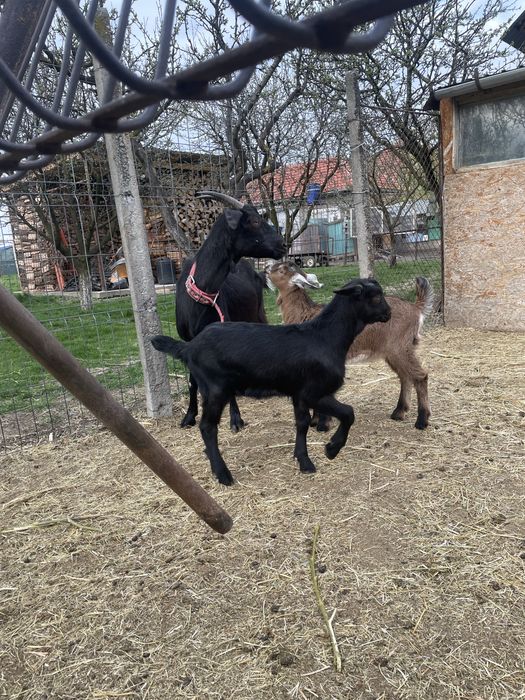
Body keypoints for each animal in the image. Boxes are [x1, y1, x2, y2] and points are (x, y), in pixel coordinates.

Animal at [152, 278, 391, 486]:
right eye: (377, 297)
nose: (388, 313)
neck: (326, 337)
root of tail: (189, 347)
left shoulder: (298, 394)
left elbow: (302, 424)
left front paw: (303, 460)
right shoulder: (313, 392)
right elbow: (348, 413)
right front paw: (331, 449)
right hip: (215, 389)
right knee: (208, 428)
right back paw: (222, 473)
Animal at [175, 191, 285, 432]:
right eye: (254, 221)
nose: (283, 245)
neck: (201, 296)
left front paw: (235, 419)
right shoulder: (190, 341)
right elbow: (192, 381)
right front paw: (189, 416)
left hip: (257, 312)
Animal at [266, 260, 432, 430]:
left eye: (281, 269)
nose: (266, 267)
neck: (306, 315)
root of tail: (416, 307)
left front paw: (323, 424)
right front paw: (315, 421)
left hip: (399, 348)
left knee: (420, 376)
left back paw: (421, 420)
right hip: (394, 351)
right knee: (405, 376)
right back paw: (399, 412)